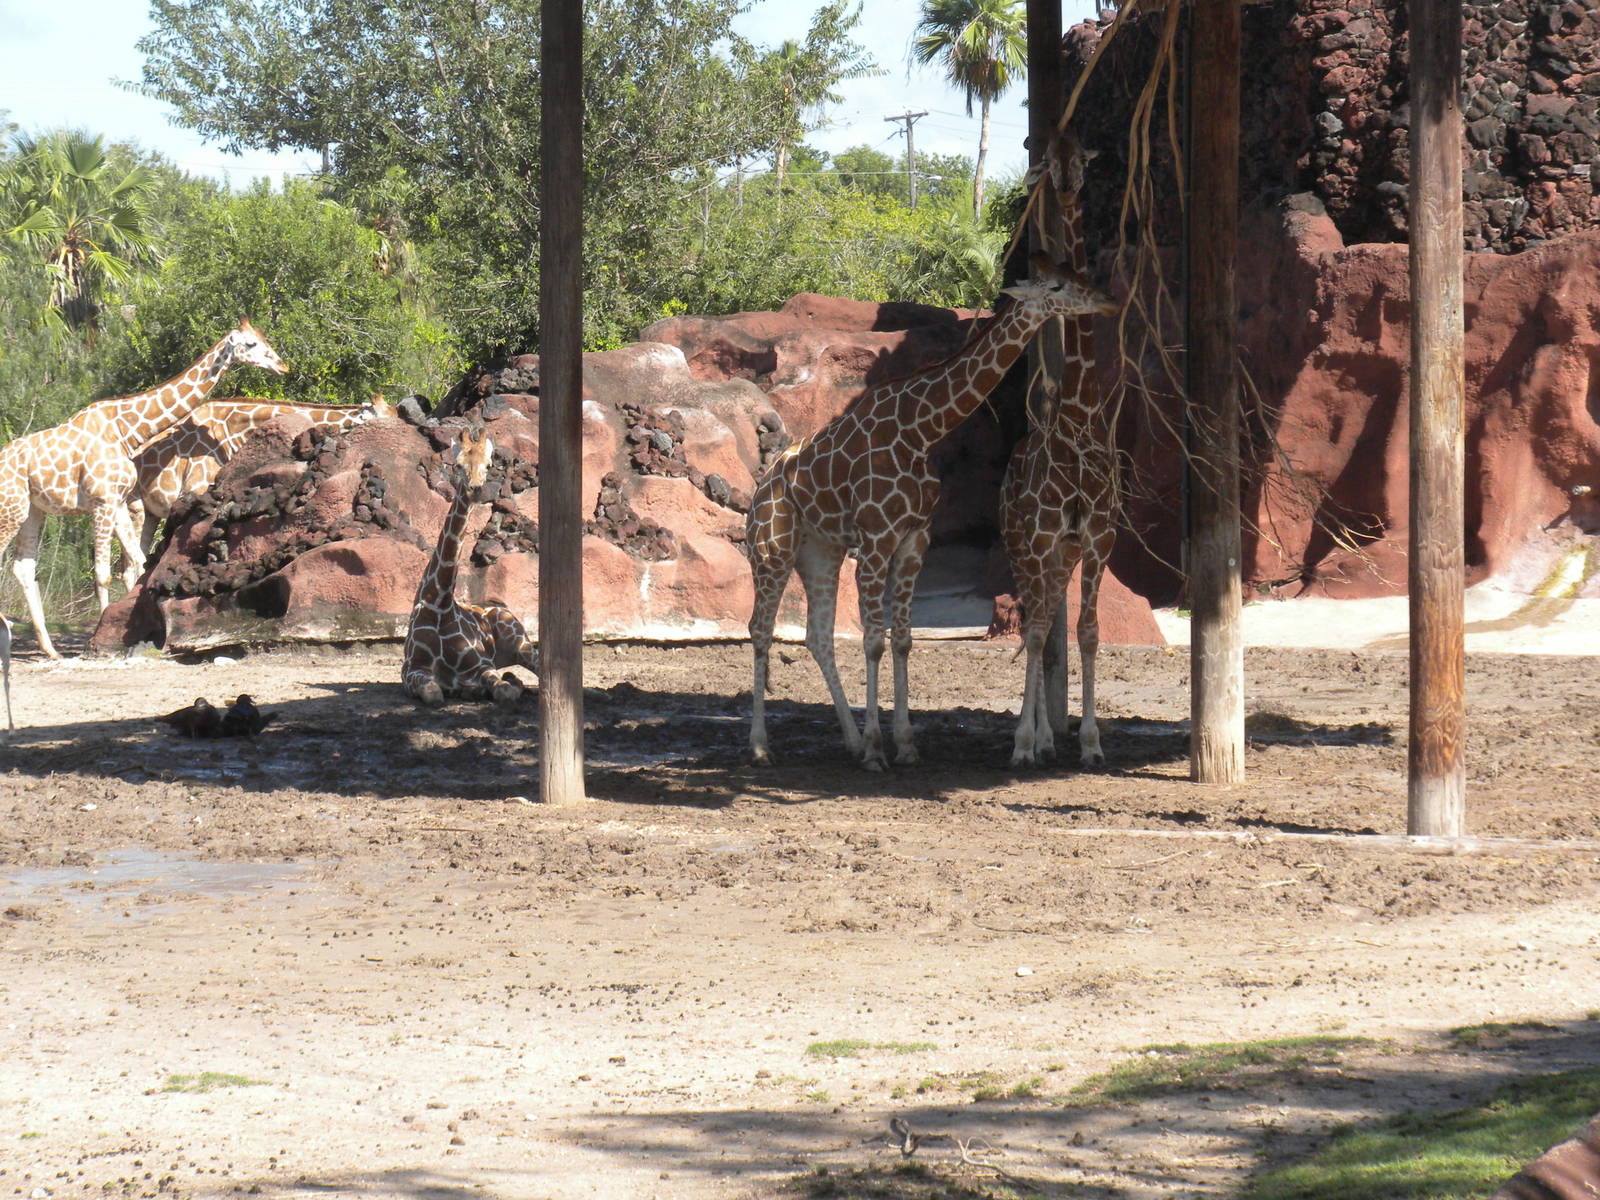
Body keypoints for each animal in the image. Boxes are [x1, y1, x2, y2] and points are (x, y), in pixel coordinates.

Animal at [0, 319, 287, 659]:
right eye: (251, 344)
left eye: (264, 339)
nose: (282, 365)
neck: (126, 431)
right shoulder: (102, 500)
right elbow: (104, 573)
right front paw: (97, 639)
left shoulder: (119, 501)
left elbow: (139, 564)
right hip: (10, 508)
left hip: (31, 510)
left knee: (23, 568)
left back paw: (50, 650)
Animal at [403, 427, 540, 706]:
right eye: (457, 465)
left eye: (488, 464)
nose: (476, 489)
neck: (439, 608)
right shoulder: (412, 670)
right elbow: (433, 694)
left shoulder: (482, 665)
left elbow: (503, 691)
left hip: (521, 644)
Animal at [746, 259, 1118, 770]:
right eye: (1058, 285)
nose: (1106, 299)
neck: (920, 429)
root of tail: (760, 490)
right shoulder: (877, 538)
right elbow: (874, 640)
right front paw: (877, 750)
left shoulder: (913, 539)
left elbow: (902, 639)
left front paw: (903, 744)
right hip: (771, 549)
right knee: (760, 630)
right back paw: (762, 746)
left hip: (820, 551)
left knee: (817, 636)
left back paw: (848, 740)